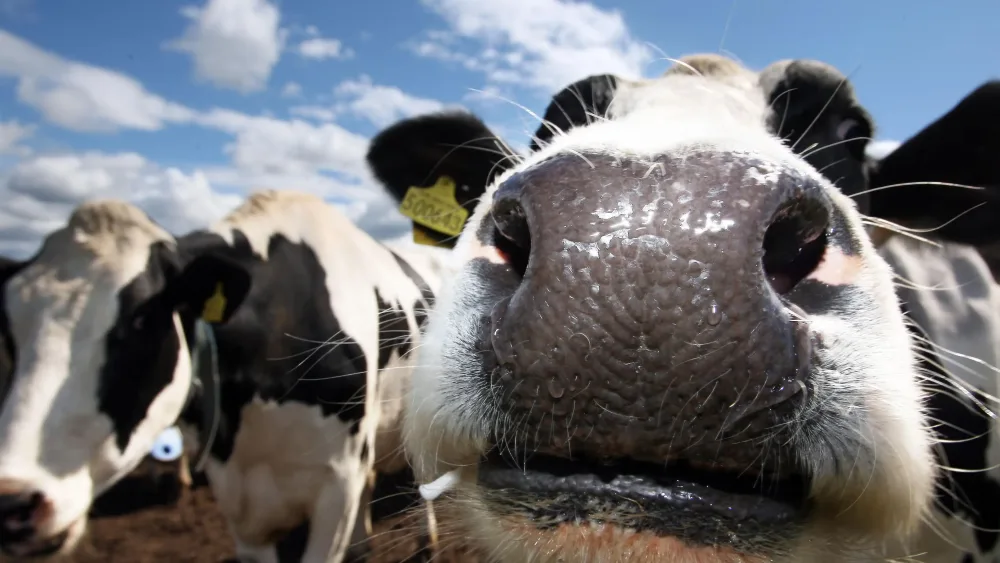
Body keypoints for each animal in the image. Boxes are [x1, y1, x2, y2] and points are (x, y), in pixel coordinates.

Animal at [0, 190, 445, 562]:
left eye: (142, 319)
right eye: (10, 331)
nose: (14, 502)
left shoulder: (337, 482)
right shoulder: (237, 495)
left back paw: (427, 540)